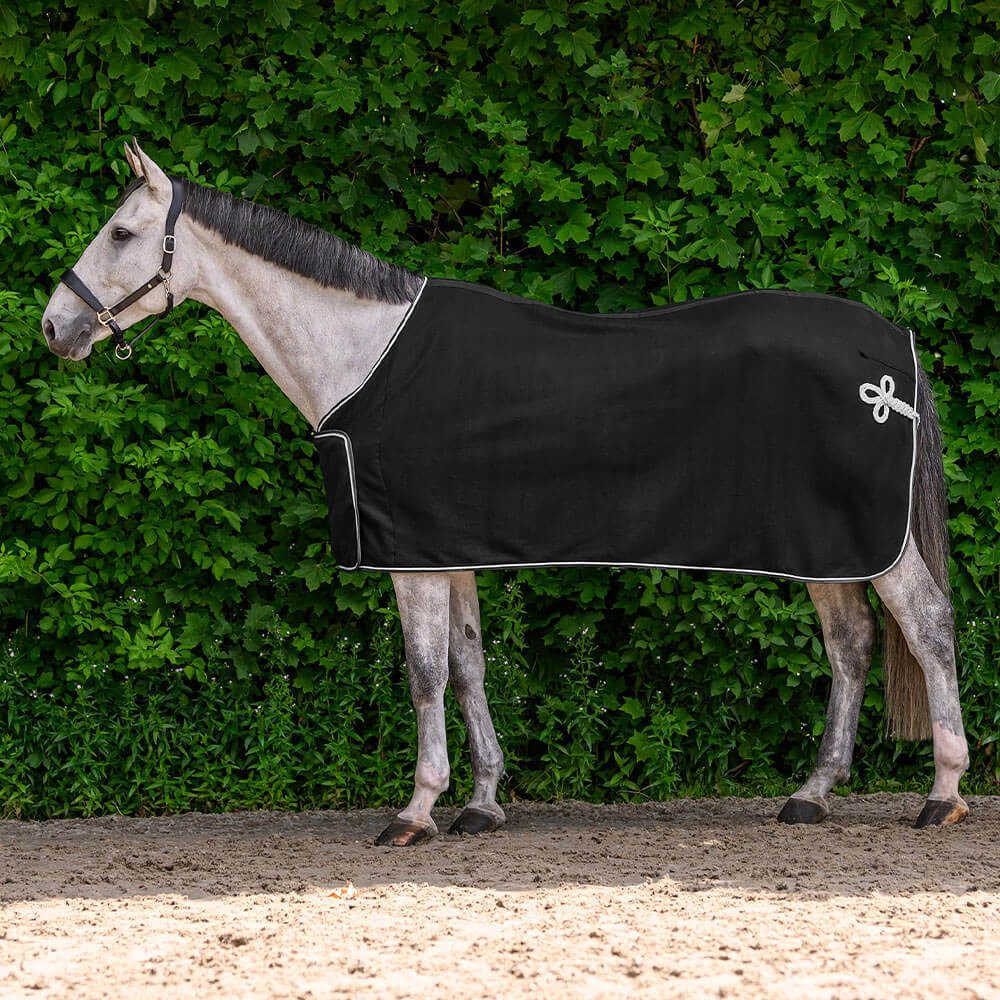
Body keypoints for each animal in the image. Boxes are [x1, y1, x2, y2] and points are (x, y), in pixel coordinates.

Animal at [41, 143, 970, 845]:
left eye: (121, 231)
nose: (55, 327)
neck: (364, 353)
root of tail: (894, 350)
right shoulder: (446, 548)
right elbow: (469, 666)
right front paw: (482, 804)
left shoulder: (411, 557)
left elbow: (423, 675)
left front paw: (416, 811)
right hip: (827, 547)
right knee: (852, 646)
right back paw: (812, 794)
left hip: (869, 544)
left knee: (926, 626)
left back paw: (943, 794)